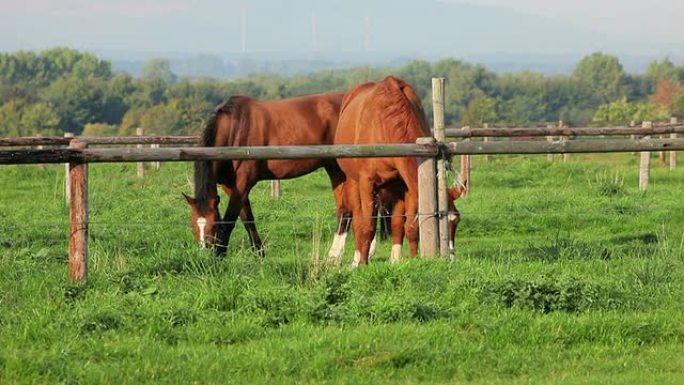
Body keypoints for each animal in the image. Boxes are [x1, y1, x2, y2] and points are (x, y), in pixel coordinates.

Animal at [183, 92, 350, 256]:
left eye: (214, 225)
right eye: (193, 225)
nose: (204, 252)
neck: (235, 129)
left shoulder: (243, 183)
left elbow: (230, 219)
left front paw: (219, 254)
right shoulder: (230, 186)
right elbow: (247, 218)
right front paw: (259, 252)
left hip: (340, 170)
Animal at [334, 74, 430, 264]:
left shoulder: (404, 186)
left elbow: (406, 225)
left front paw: (406, 260)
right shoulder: (367, 183)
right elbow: (368, 226)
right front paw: (363, 264)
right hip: (353, 182)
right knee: (357, 221)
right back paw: (356, 259)